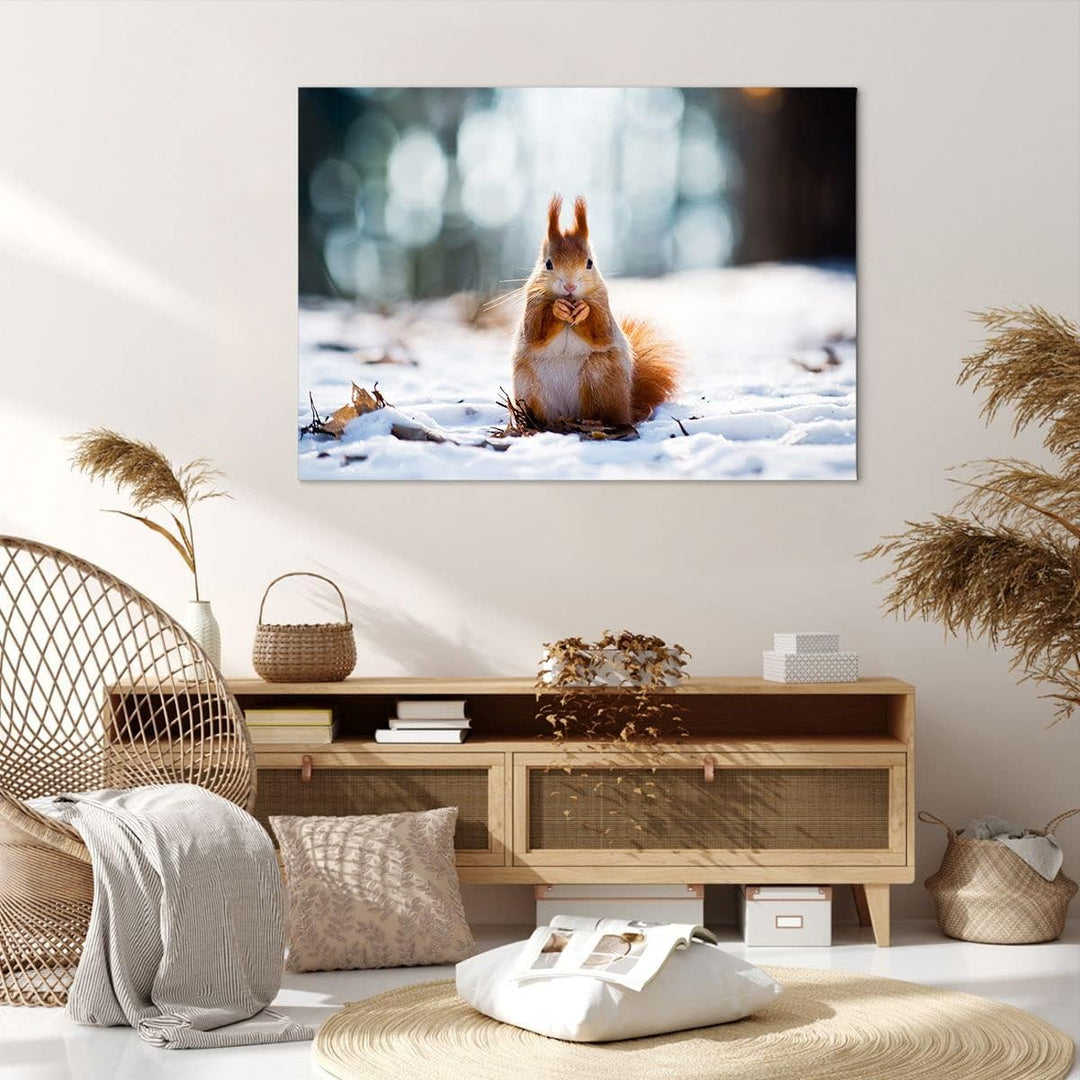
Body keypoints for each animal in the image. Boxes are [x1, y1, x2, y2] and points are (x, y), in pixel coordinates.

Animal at [511, 195, 680, 427]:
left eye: (589, 263)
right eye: (548, 264)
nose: (570, 286)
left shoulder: (603, 304)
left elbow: (601, 331)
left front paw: (584, 311)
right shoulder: (532, 305)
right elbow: (535, 331)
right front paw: (557, 309)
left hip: (600, 378)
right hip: (529, 386)